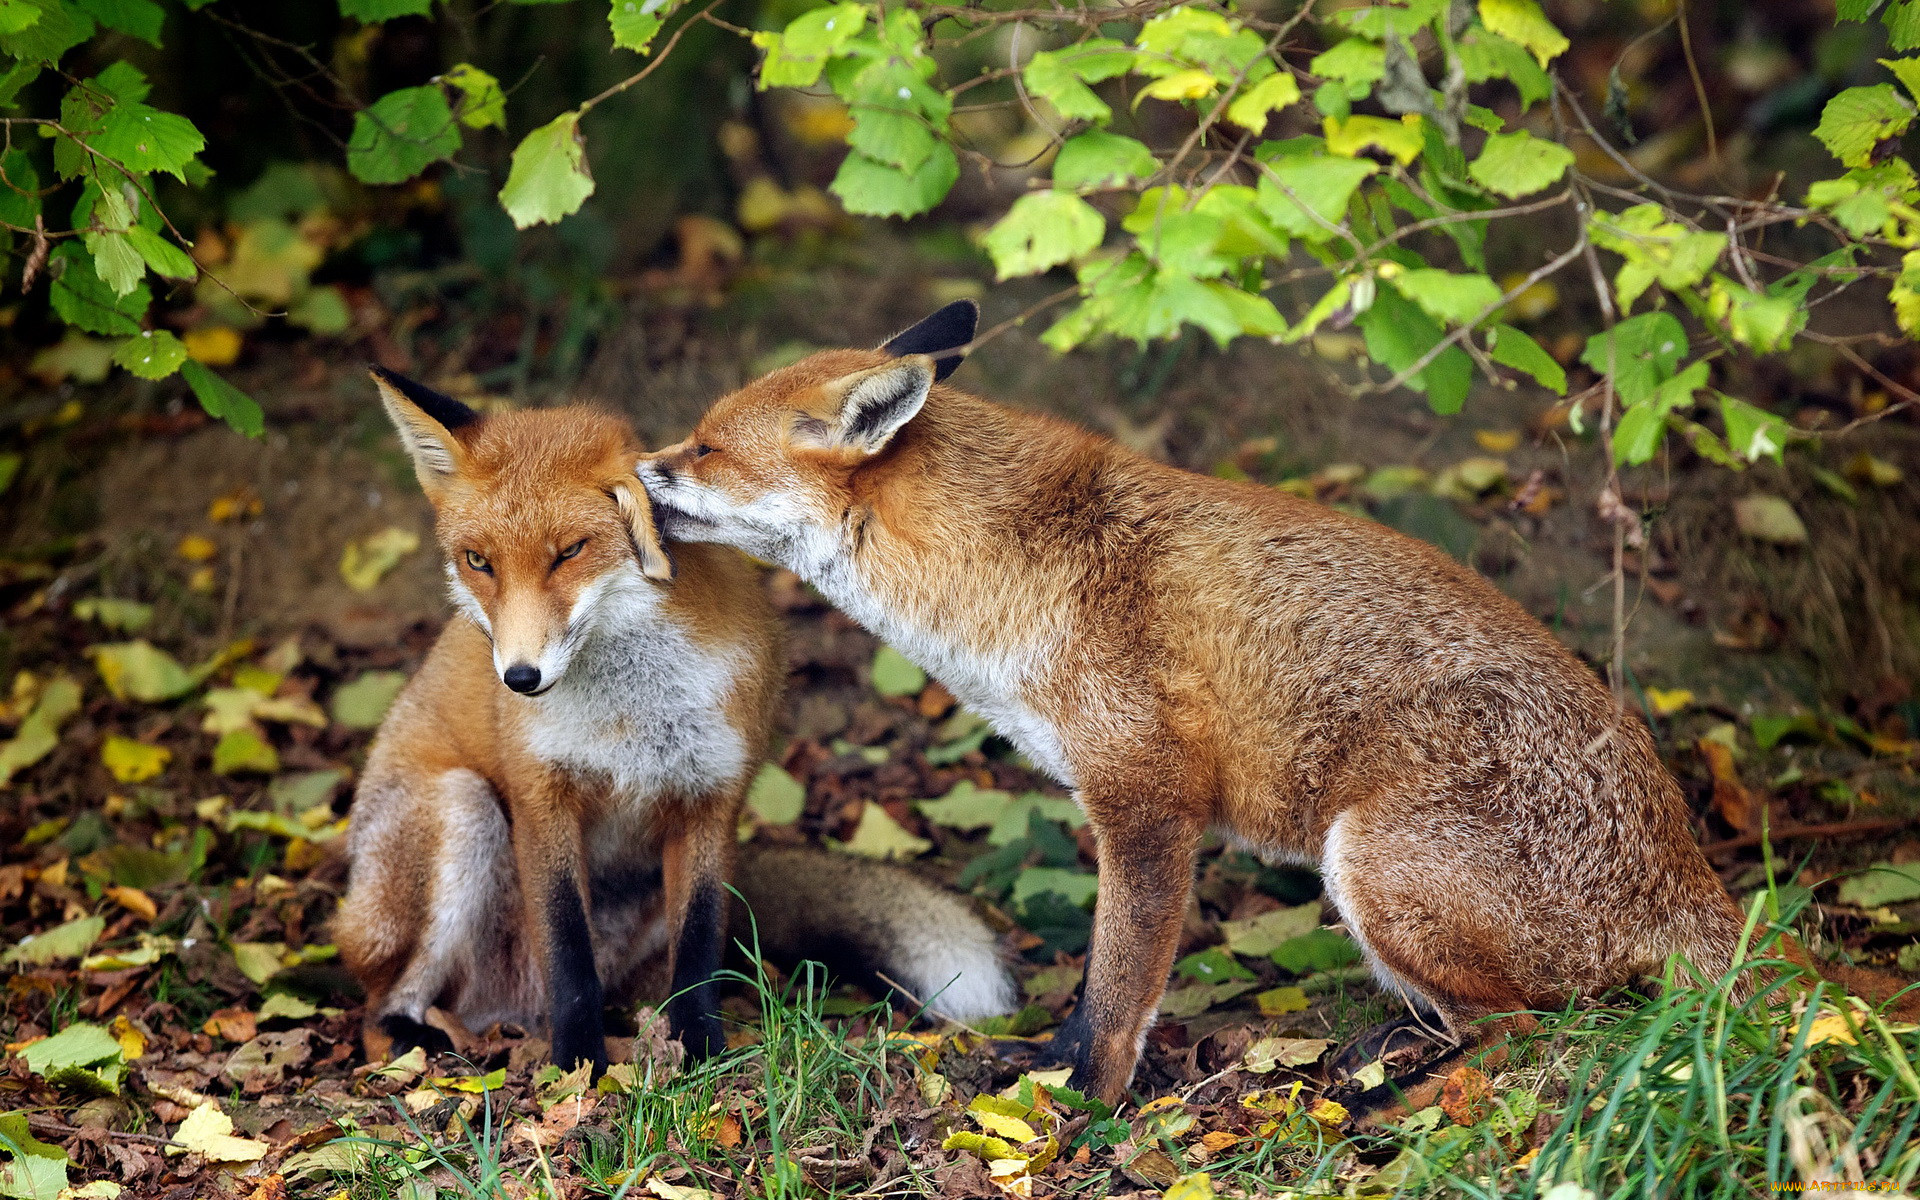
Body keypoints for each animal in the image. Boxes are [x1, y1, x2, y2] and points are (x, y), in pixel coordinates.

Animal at [336, 370, 1013, 1075]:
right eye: (478, 561)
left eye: (569, 553)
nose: (519, 679)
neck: (632, 717)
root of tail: (504, 1012)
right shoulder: (542, 797)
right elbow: (567, 955)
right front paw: (577, 1068)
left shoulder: (711, 796)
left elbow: (697, 949)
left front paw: (701, 1054)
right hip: (460, 810)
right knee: (382, 1005)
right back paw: (416, 1042)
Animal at [641, 299, 1920, 1105]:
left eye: (703, 450)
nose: (639, 474)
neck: (1017, 573)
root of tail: (1690, 872)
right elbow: (1096, 985)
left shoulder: (1148, 803)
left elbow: (1118, 986)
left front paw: (1081, 1105)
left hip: (1371, 862)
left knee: (1545, 1025)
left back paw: (1384, 1092)